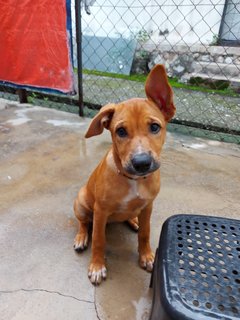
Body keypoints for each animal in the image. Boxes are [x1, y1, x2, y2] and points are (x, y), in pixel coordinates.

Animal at [73, 63, 176, 284]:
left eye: (155, 127)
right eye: (120, 131)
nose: (142, 163)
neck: (133, 180)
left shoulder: (148, 205)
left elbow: (145, 233)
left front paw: (146, 256)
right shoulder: (100, 211)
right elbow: (99, 239)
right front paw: (97, 266)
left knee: (130, 217)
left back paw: (133, 221)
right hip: (82, 202)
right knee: (83, 222)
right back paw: (81, 237)